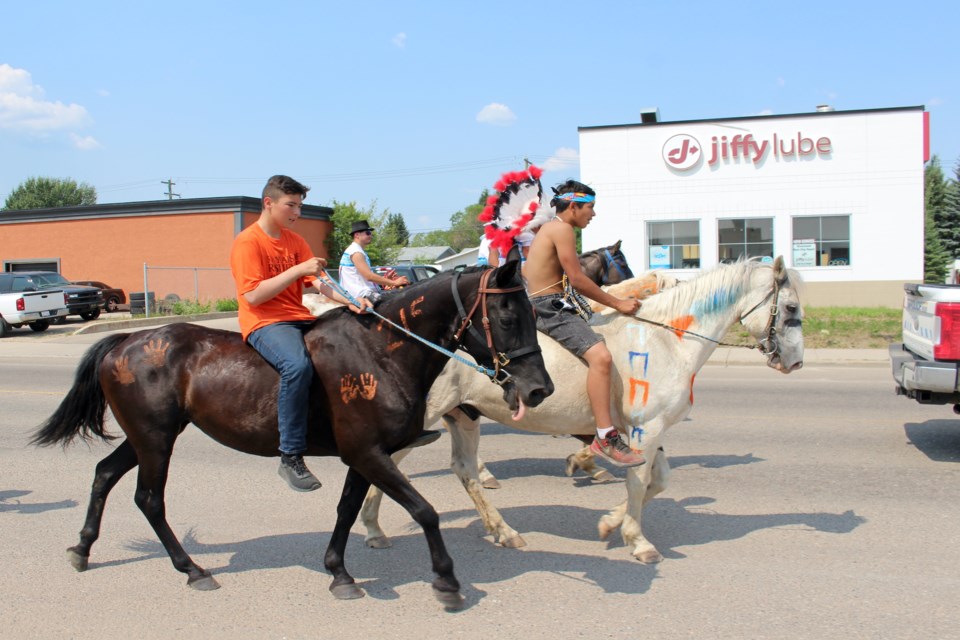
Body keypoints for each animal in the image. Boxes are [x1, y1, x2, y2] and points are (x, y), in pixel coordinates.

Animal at [33, 262, 552, 608]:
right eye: (507, 317)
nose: (539, 388)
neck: (380, 352)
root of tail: (126, 340)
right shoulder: (370, 454)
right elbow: (425, 512)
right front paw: (446, 581)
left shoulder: (362, 456)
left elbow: (346, 511)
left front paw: (339, 574)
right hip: (156, 439)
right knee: (149, 500)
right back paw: (193, 570)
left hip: (147, 436)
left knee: (104, 474)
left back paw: (82, 549)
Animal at [354, 258, 804, 564]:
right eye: (791, 309)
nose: (796, 362)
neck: (667, 340)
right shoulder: (647, 429)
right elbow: (639, 483)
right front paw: (638, 540)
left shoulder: (647, 432)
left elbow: (658, 481)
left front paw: (610, 522)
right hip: (429, 415)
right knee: (390, 461)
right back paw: (374, 526)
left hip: (464, 415)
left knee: (463, 470)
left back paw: (500, 530)